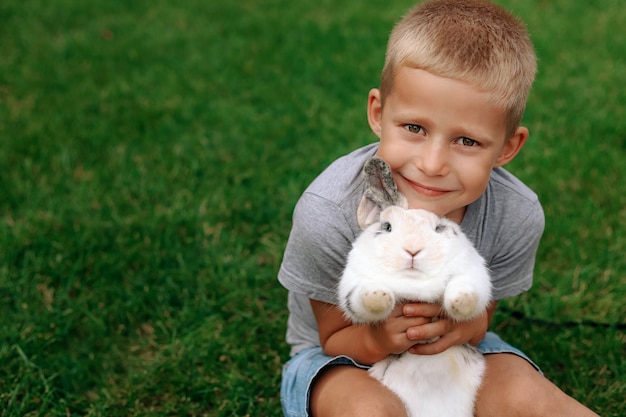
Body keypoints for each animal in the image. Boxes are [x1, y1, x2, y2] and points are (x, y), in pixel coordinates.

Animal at [338, 156, 490, 416]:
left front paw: (461, 300)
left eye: (438, 228)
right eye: (387, 227)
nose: (412, 250)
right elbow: (362, 298)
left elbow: (466, 288)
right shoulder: (353, 284)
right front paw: (379, 297)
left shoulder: (474, 273)